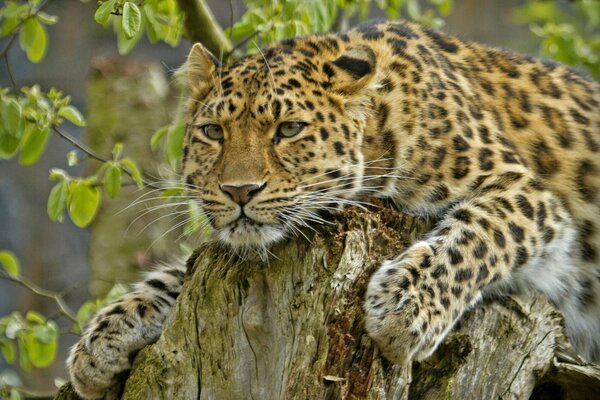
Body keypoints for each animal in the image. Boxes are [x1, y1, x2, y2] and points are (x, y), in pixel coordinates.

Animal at [67, 19, 600, 400]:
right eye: (213, 132)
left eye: (288, 129)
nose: (239, 190)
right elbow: (177, 272)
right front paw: (102, 340)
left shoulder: (530, 196)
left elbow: (474, 239)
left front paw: (404, 309)